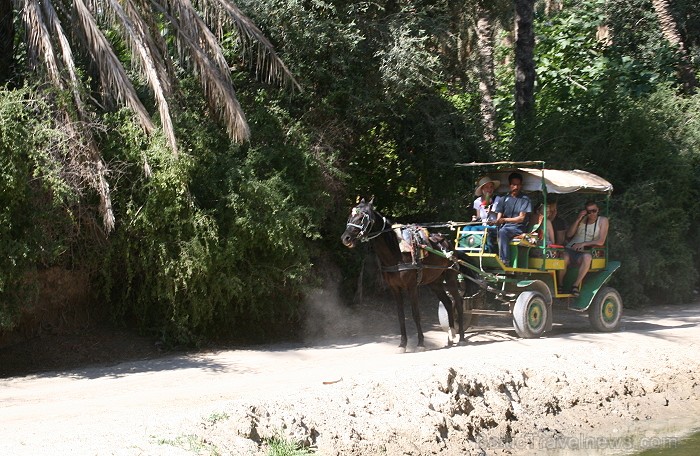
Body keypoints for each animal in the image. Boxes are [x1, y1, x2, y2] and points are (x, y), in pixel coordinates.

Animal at [340, 198, 464, 350]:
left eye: (362, 217)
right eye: (349, 217)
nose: (345, 238)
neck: (396, 252)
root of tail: (446, 242)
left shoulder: (412, 287)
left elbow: (415, 314)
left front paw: (421, 343)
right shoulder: (395, 288)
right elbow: (400, 315)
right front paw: (402, 344)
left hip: (450, 278)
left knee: (458, 302)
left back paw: (462, 337)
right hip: (434, 282)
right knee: (447, 303)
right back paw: (451, 337)